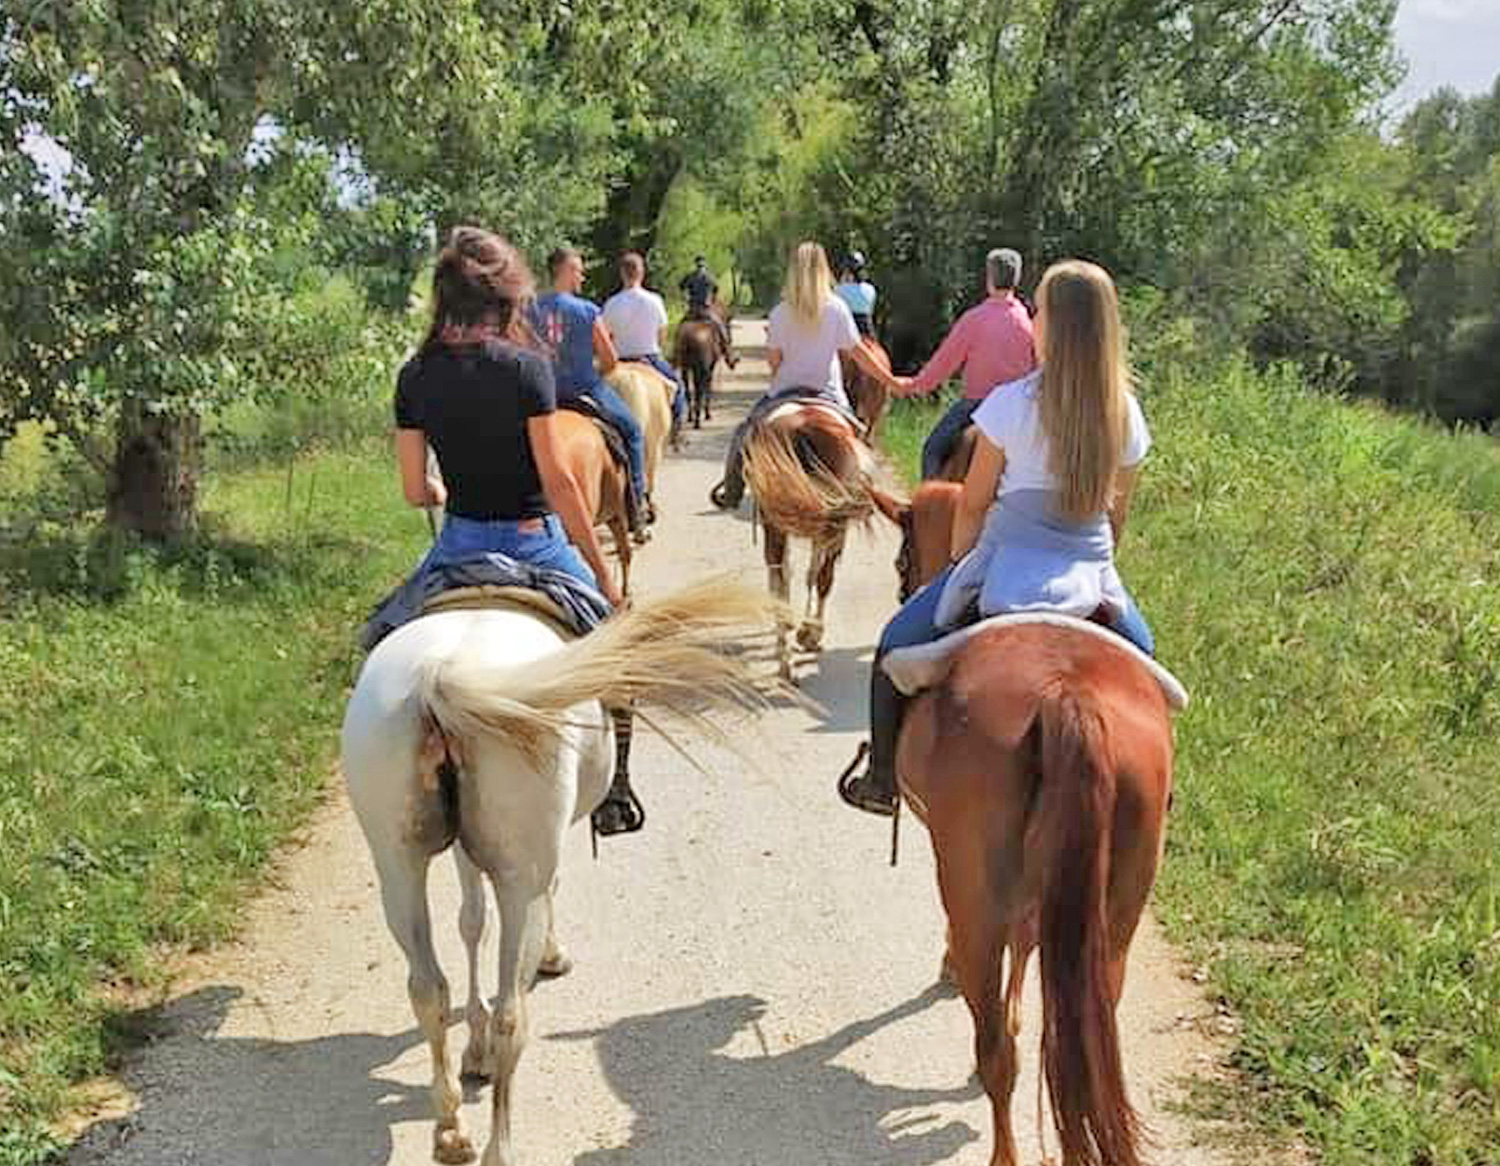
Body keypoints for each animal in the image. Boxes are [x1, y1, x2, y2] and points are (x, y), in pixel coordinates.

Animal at [341, 580, 781, 1166]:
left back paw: (450, 1130)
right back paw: (498, 1146)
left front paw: (473, 1049)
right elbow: (546, 892)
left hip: (396, 861)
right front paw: (549, 960)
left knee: (428, 989)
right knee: (513, 1009)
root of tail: (440, 678)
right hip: (518, 872)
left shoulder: (465, 852)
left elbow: (471, 921)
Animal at [740, 400, 900, 679]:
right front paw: (808, 632)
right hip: (823, 524)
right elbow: (816, 575)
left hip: (783, 522)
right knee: (812, 576)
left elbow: (805, 574)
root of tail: (803, 426)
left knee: (781, 576)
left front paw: (801, 631)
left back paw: (786, 659)